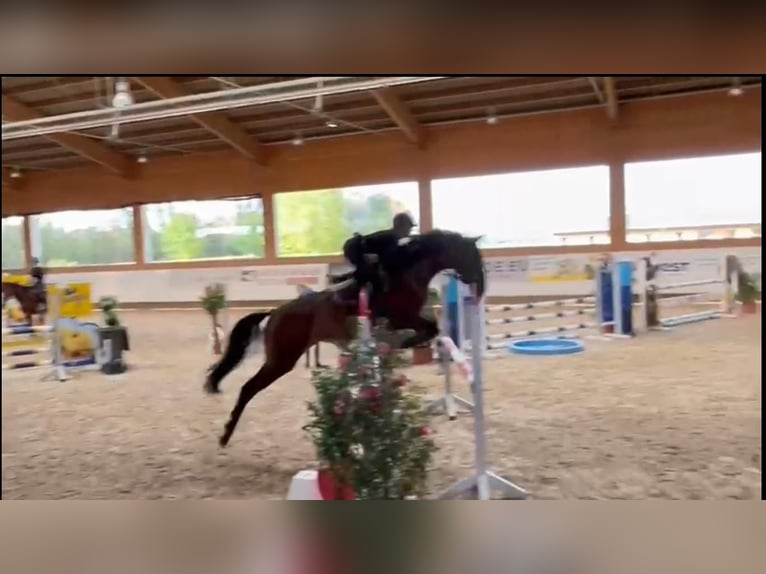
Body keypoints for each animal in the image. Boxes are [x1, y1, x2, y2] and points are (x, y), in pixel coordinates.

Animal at [204, 231, 486, 450]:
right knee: (248, 389)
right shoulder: (400, 318)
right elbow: (428, 328)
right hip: (282, 360)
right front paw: (407, 344)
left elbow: (431, 327)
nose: (480, 289)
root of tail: (274, 312)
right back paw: (225, 435)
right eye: (472, 257)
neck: (408, 271)